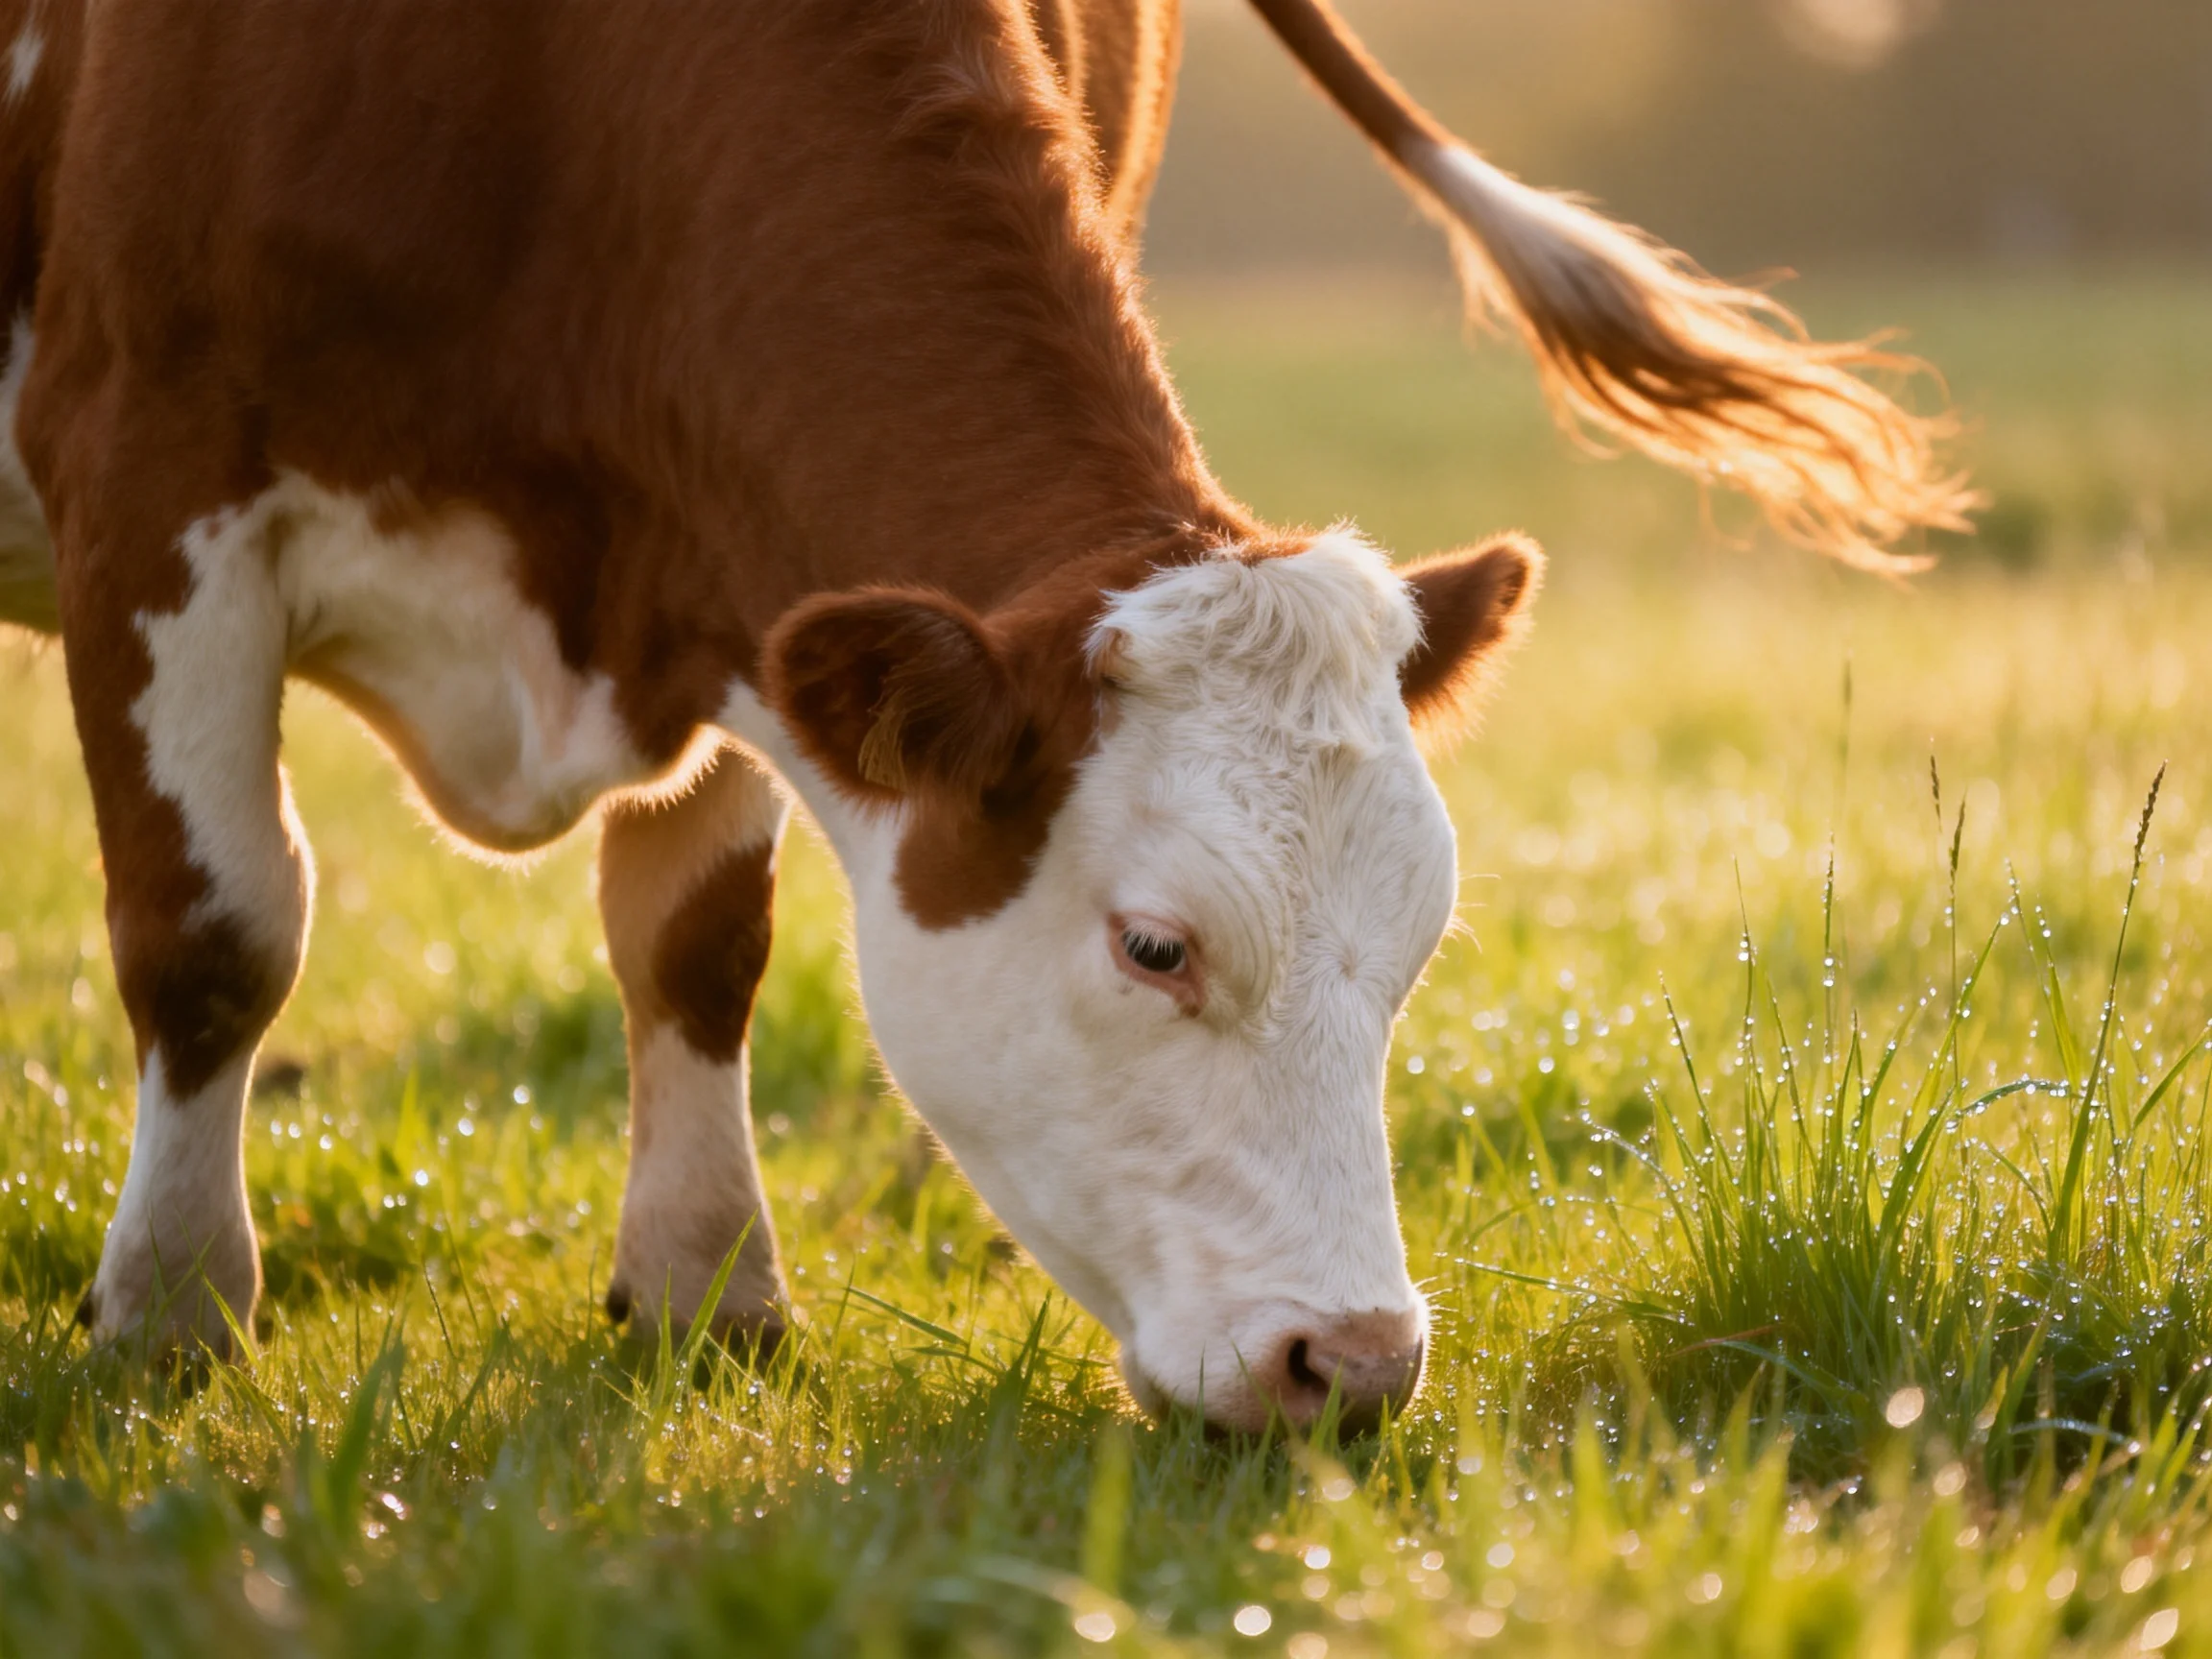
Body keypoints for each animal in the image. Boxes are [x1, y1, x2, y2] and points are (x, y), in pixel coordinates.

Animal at [0, 0, 1970, 1432]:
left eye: (1413, 950)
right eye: (1156, 945)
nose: (1353, 1363)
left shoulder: (738, 571)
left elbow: (695, 940)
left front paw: (707, 1288)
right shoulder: (150, 474)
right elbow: (216, 931)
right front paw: (172, 1309)